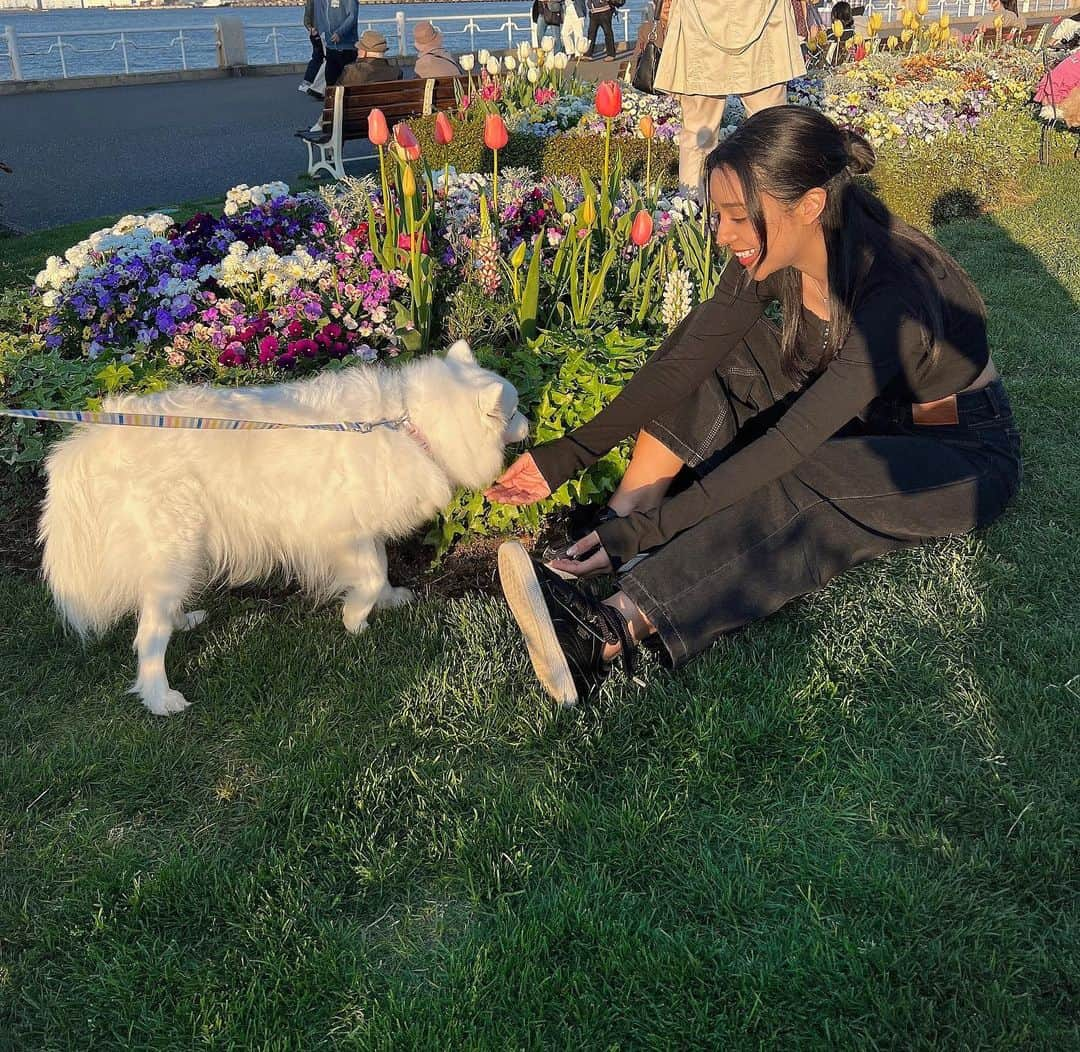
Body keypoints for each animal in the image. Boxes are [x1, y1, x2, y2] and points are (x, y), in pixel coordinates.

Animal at [39, 343, 529, 717]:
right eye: (514, 411)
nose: (530, 425)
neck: (409, 423)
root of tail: (103, 438)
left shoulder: (361, 527)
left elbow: (381, 568)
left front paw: (388, 600)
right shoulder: (338, 531)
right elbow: (370, 576)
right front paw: (356, 620)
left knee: (157, 609)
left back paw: (184, 620)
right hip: (176, 549)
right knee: (148, 635)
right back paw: (161, 698)